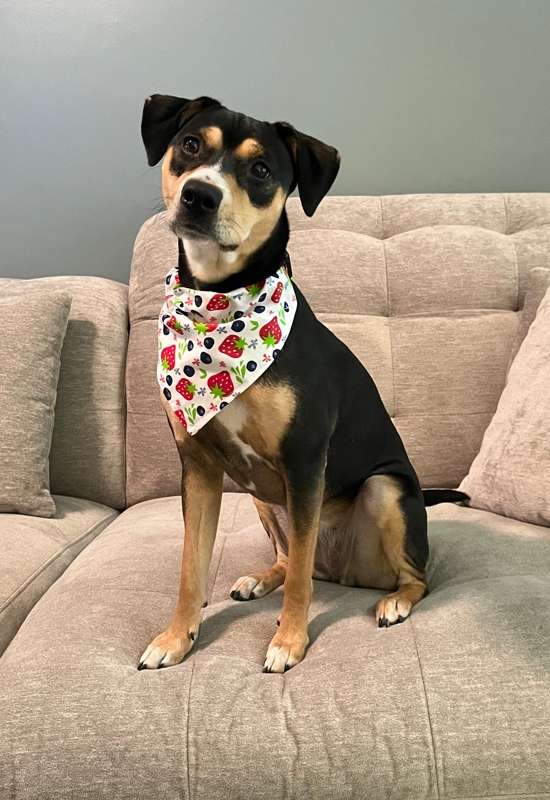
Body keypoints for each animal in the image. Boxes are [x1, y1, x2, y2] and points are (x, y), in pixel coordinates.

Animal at [137, 92, 466, 676]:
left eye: (261, 170)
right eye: (191, 145)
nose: (200, 194)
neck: (220, 300)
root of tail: (344, 572)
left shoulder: (305, 460)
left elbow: (297, 588)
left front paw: (289, 642)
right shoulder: (199, 466)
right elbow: (189, 568)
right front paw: (177, 638)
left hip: (384, 490)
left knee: (405, 576)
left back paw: (396, 602)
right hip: (261, 497)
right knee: (293, 559)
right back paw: (261, 577)